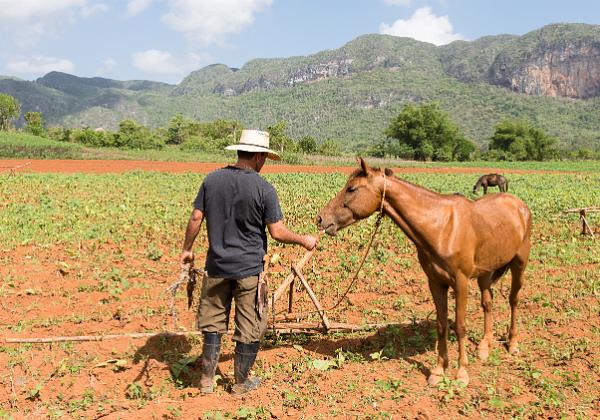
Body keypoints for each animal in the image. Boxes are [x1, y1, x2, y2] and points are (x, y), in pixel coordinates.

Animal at [316, 159, 532, 386]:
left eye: (352, 188)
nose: (321, 219)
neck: (441, 227)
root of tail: (519, 205)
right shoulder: (436, 282)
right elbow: (442, 325)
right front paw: (438, 371)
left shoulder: (461, 282)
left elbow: (460, 326)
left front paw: (461, 373)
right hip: (486, 271)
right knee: (488, 303)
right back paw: (484, 347)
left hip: (519, 263)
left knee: (513, 300)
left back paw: (512, 344)